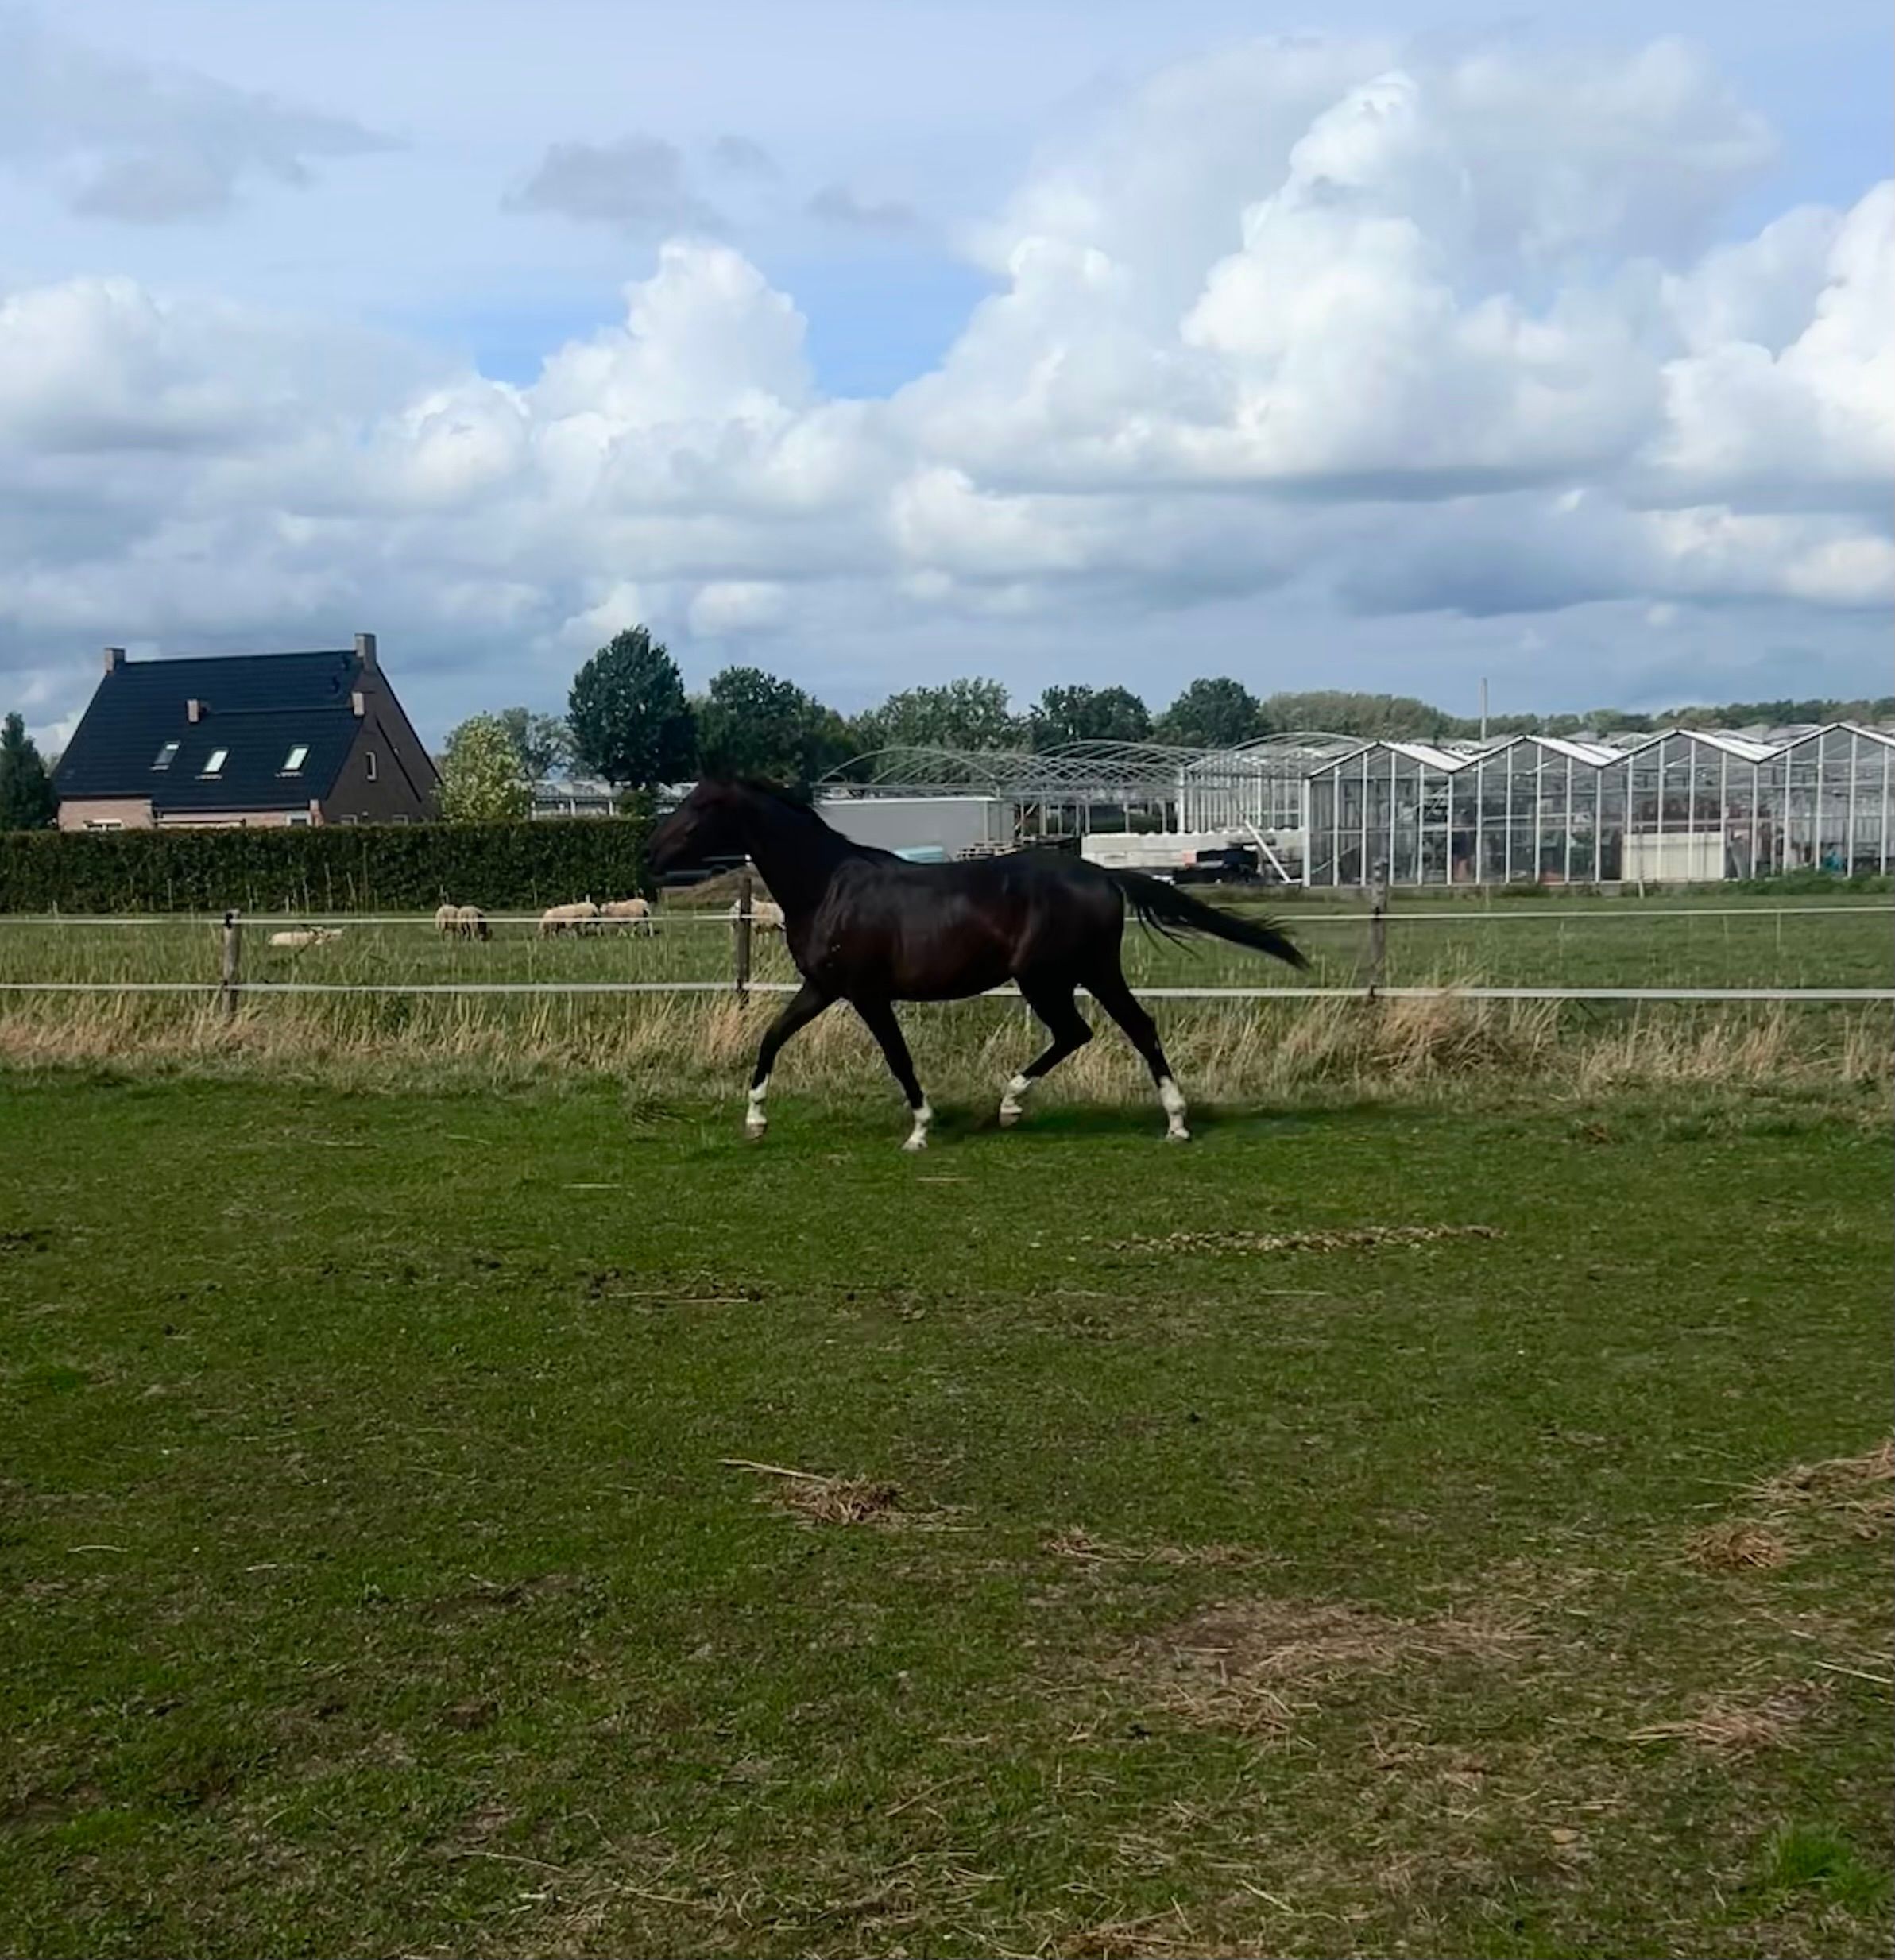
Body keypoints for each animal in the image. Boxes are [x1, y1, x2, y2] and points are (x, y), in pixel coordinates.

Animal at [647, 779, 1309, 1149]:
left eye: (700, 808)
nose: (650, 853)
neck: (828, 885)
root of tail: (1102, 876)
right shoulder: (822, 987)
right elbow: (770, 1037)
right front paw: (755, 1121)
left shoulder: (865, 993)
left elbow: (898, 1057)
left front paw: (919, 1129)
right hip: (1079, 975)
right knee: (1112, 1029)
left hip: (1052, 977)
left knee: (1097, 1030)